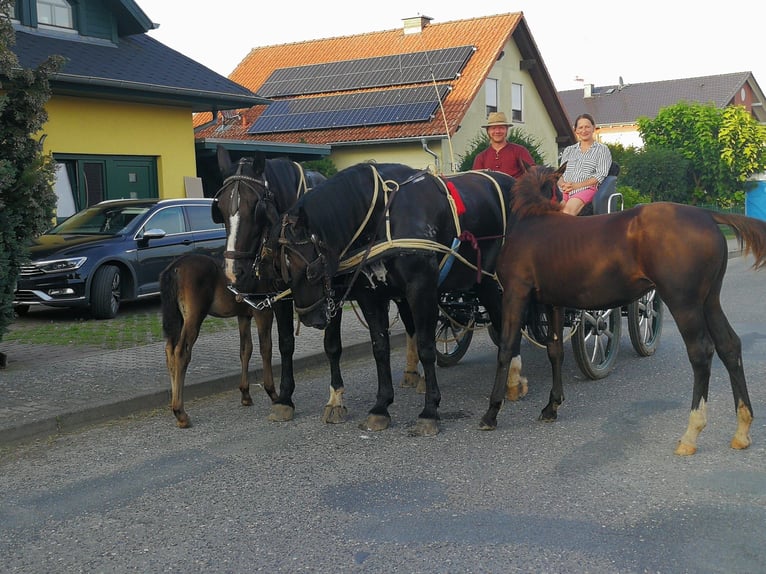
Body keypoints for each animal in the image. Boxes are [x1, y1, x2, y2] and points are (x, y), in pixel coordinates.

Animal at [272, 162, 520, 436]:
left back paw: (514, 380)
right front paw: (381, 407)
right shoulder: (371, 296)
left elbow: (426, 347)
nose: (308, 317)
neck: (383, 216)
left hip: (496, 282)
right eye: (281, 267)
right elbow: (380, 348)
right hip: (480, 282)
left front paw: (429, 411)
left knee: (507, 328)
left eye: (309, 268)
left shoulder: (421, 289)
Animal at [480, 164, 766, 456]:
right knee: (729, 346)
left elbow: (506, 349)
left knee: (701, 352)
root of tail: (706, 215)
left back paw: (691, 433)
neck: (531, 222)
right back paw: (741, 431)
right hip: (709, 301)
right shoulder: (553, 302)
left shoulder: (515, 294)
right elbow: (555, 350)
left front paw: (491, 412)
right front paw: (551, 407)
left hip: (683, 303)